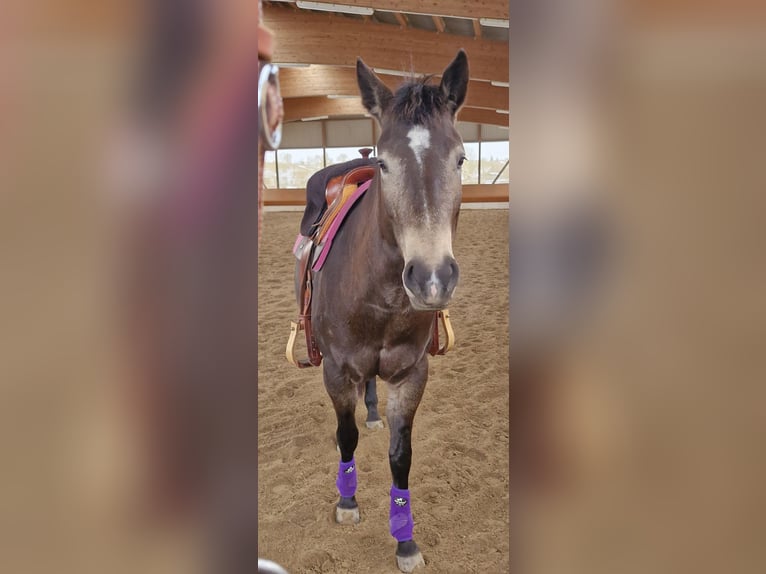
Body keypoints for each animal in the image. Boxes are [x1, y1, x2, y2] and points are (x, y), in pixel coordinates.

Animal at [294, 50, 469, 572]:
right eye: (385, 164)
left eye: (460, 158)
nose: (431, 277)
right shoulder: (335, 369)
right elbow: (346, 434)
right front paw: (347, 501)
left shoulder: (412, 373)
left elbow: (400, 454)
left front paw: (405, 540)